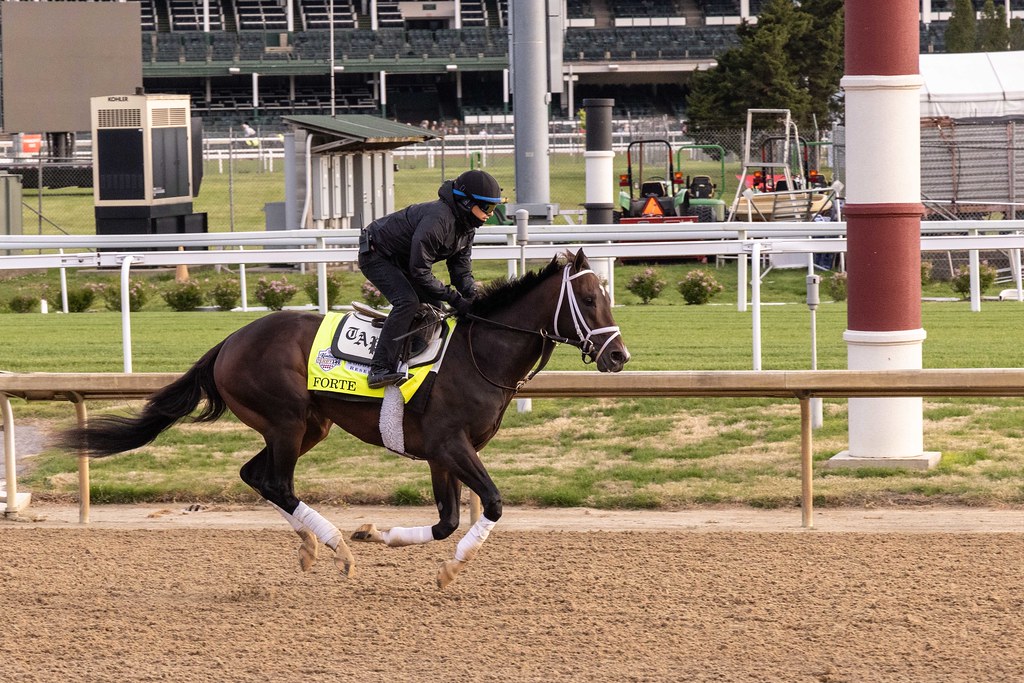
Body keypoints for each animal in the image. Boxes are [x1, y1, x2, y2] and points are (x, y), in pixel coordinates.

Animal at [61, 249, 630, 588]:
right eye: (587, 299)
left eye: (606, 295)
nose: (619, 356)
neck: (479, 354)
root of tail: (229, 341)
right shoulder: (451, 445)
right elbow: (490, 504)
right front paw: (449, 567)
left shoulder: (440, 454)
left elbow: (446, 521)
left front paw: (375, 533)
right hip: (288, 421)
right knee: (277, 482)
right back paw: (333, 546)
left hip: (309, 426)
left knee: (255, 476)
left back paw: (315, 544)